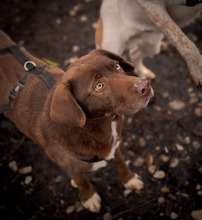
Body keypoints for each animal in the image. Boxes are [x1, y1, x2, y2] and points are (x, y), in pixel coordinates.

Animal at [0, 30, 153, 212]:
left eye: (117, 66)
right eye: (99, 86)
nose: (145, 86)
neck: (98, 126)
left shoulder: (114, 145)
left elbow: (120, 161)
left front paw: (128, 179)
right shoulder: (69, 166)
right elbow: (82, 181)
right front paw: (89, 197)